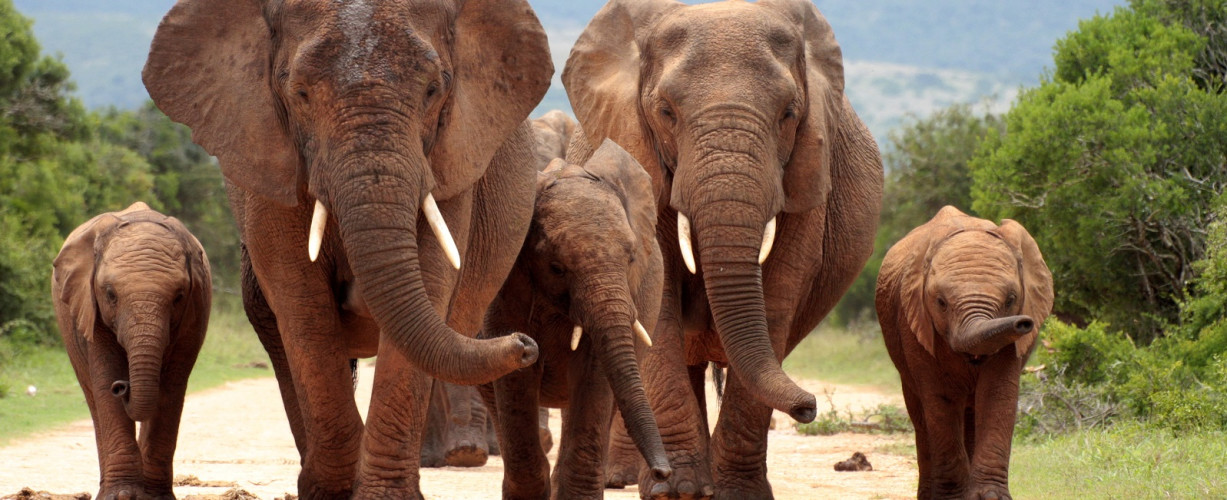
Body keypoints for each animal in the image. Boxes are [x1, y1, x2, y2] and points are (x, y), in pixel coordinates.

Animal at [52, 201, 212, 500]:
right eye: (110, 294)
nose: (122, 386)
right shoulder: (90, 306)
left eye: (179, 296)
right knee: (93, 396)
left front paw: (156, 497)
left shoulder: (195, 310)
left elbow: (172, 386)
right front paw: (122, 495)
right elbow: (105, 378)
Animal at [143, 0, 552, 497]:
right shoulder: (269, 160)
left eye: (434, 89)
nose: (525, 344)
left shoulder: (450, 161)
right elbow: (301, 304)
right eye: (299, 93)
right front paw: (335, 493)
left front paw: (384, 494)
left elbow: (430, 284)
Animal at [483, 140, 671, 499]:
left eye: (631, 259)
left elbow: (594, 374)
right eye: (557, 268)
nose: (663, 473)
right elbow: (516, 376)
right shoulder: (504, 289)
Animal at [561, 0, 883, 497]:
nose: (809, 407)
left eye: (789, 113)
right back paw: (631, 478)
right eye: (666, 112)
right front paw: (678, 491)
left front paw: (736, 493)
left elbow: (777, 295)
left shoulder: (808, 176)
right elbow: (659, 303)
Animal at [875, 206, 1053, 500]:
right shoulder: (915, 323)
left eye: (1011, 300)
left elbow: (997, 394)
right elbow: (940, 400)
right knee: (921, 416)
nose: (1024, 323)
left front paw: (990, 497)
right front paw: (952, 498)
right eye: (941, 303)